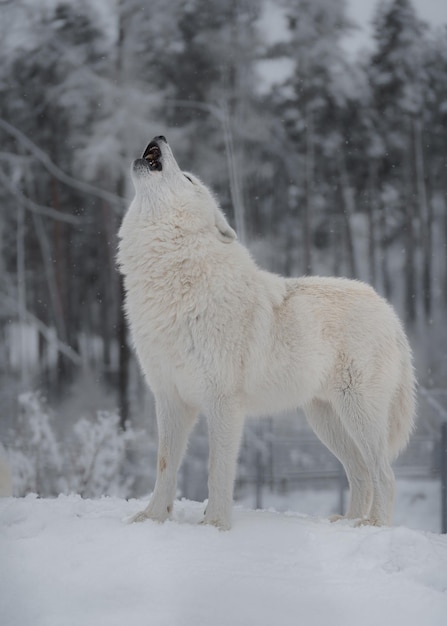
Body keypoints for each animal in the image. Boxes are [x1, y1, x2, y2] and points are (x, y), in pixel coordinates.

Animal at [118, 135, 416, 528]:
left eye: (187, 177)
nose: (160, 138)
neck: (175, 279)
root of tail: (389, 310)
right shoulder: (169, 397)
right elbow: (165, 464)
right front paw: (152, 518)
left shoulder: (223, 401)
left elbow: (217, 470)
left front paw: (215, 525)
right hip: (325, 421)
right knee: (361, 472)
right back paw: (346, 523)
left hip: (359, 415)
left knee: (385, 473)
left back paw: (373, 525)